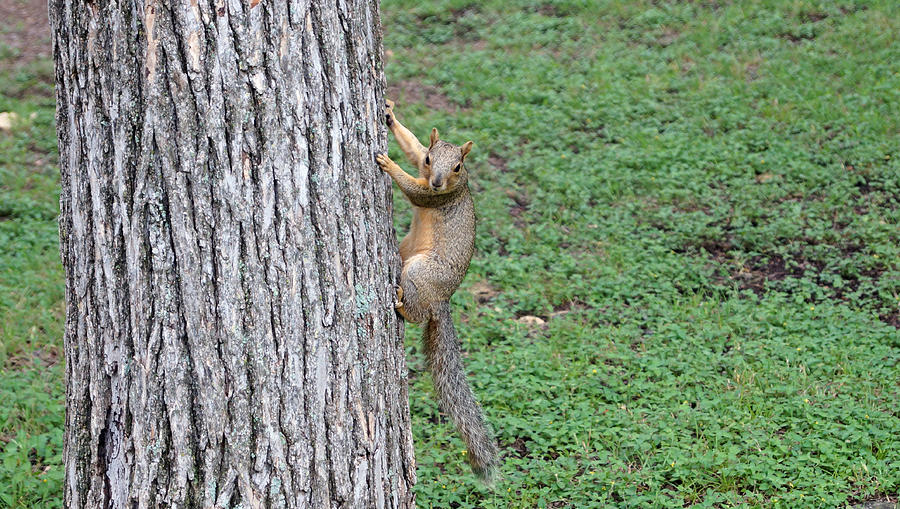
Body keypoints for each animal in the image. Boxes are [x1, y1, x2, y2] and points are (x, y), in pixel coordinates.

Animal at [374, 98, 500, 480]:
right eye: (431, 159)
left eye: (458, 166)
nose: (439, 181)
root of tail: (443, 298)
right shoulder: (422, 167)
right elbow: (411, 146)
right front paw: (391, 116)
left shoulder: (433, 196)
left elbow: (414, 189)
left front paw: (390, 165)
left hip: (421, 271)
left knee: (418, 312)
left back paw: (401, 304)